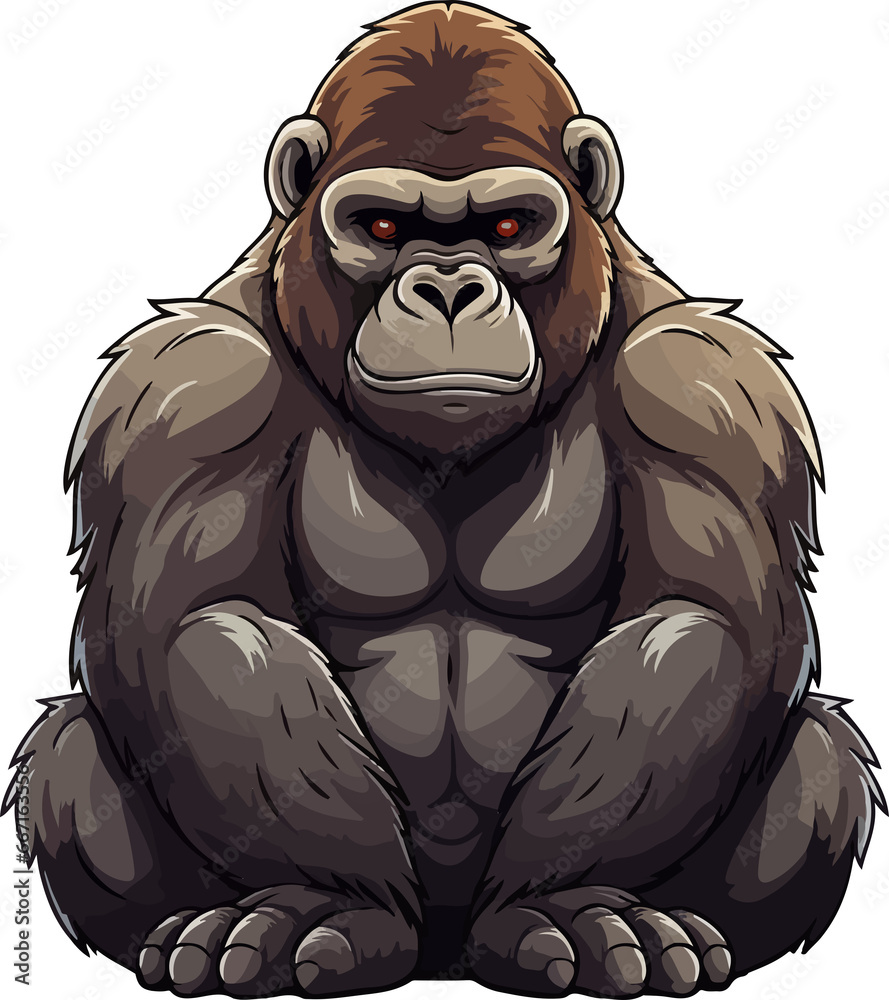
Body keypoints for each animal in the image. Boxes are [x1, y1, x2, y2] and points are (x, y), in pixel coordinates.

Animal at [6, 3, 883, 998]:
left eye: (505, 225)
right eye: (384, 225)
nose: (450, 286)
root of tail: (445, 955)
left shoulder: (697, 384)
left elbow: (716, 628)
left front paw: (563, 905)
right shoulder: (195, 386)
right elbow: (176, 633)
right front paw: (325, 904)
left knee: (810, 747)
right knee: (80, 742)